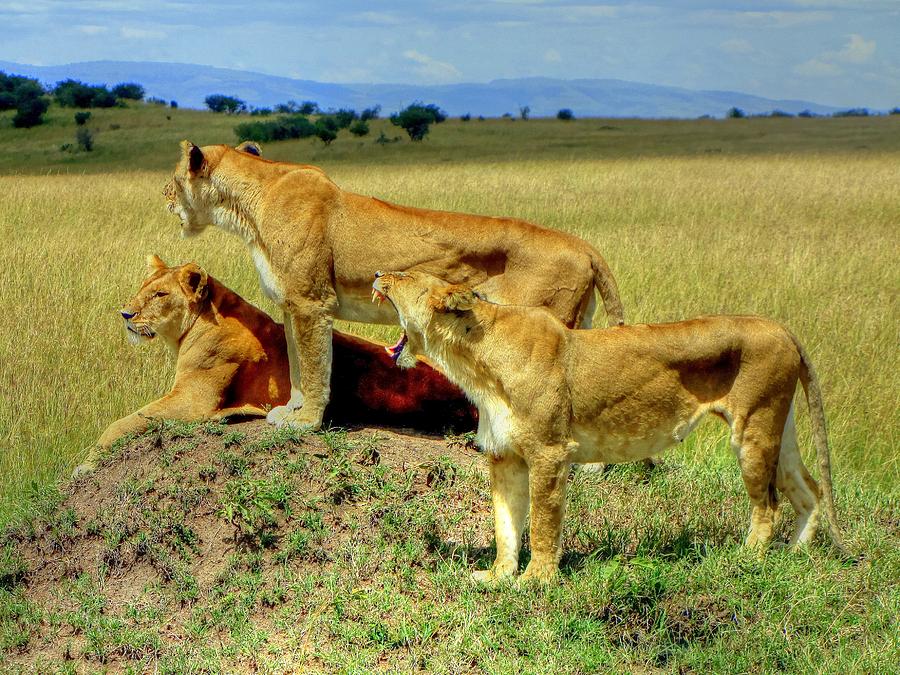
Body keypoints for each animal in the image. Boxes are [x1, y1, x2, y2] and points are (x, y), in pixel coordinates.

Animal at [74, 256, 474, 478]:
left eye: (159, 295)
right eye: (143, 287)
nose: (126, 314)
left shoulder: (194, 401)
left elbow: (122, 423)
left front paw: (86, 464)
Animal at [165, 140, 624, 430]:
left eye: (172, 178)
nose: (165, 197)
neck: (246, 207)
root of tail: (585, 246)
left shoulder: (312, 302)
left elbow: (314, 366)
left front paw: (306, 422)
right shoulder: (292, 305)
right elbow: (296, 364)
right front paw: (290, 410)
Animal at [372, 272, 852, 584]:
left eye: (403, 276)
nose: (377, 274)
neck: (473, 361)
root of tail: (782, 328)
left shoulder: (549, 451)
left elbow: (542, 522)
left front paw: (536, 581)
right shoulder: (504, 455)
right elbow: (506, 523)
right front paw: (497, 577)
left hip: (754, 428)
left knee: (768, 504)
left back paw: (747, 561)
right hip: (779, 429)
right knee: (810, 489)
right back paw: (795, 556)